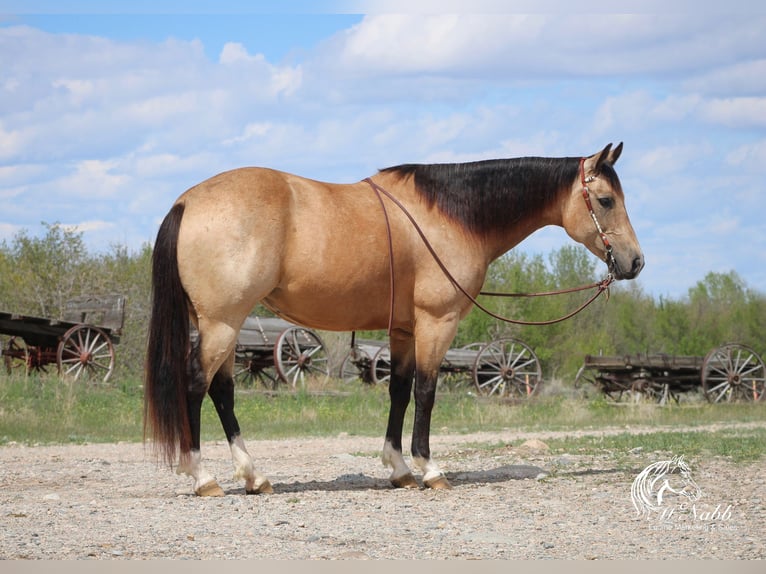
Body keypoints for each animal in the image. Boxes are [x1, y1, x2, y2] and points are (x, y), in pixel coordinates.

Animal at [142, 142, 640, 498]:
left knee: (222, 392)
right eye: (605, 200)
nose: (635, 262)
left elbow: (398, 392)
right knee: (196, 385)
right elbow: (426, 392)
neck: (452, 214)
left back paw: (253, 476)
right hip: (223, 323)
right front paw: (429, 468)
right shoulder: (437, 322)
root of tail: (187, 201)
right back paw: (203, 477)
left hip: (222, 324)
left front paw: (399, 469)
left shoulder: (402, 330)